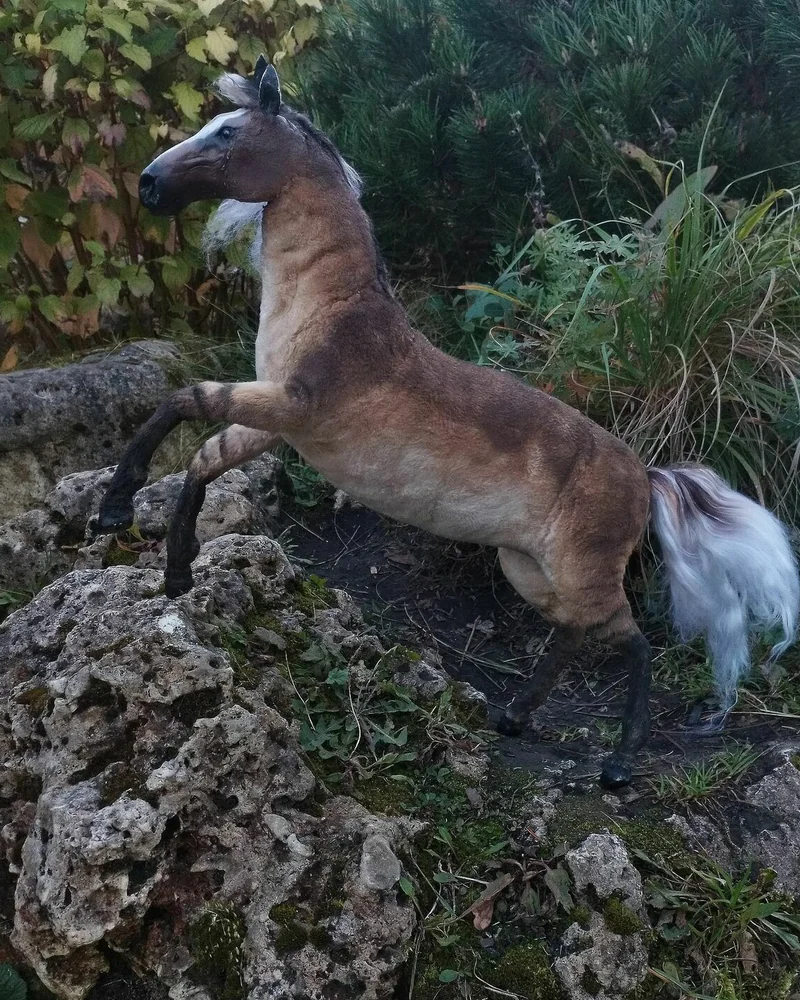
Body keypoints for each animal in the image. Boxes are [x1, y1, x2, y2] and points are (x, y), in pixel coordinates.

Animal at [97, 57, 799, 789]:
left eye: (228, 131)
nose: (149, 183)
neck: (335, 311)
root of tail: (646, 474)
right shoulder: (277, 423)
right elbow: (203, 456)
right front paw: (174, 572)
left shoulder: (290, 404)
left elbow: (183, 402)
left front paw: (115, 512)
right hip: (527, 567)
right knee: (576, 633)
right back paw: (513, 717)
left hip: (583, 572)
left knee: (635, 646)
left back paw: (617, 764)